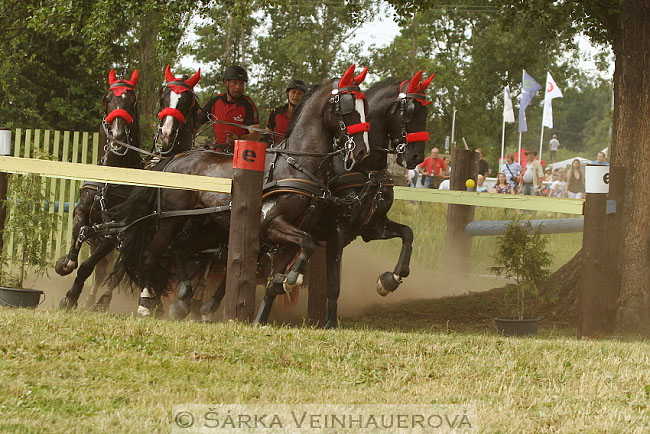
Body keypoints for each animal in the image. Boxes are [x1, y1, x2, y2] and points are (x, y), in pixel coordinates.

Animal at [111, 65, 370, 322]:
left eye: (364, 106)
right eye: (347, 106)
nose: (362, 150)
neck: (296, 164)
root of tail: (174, 159)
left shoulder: (293, 234)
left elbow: (290, 264)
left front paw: (264, 313)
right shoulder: (270, 224)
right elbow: (306, 245)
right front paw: (291, 280)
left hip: (209, 228)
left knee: (178, 250)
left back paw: (183, 299)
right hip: (171, 221)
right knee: (152, 255)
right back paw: (147, 303)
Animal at [316, 72, 432, 328]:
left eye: (426, 112)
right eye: (410, 111)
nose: (416, 157)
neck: (365, 169)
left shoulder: (373, 227)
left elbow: (408, 234)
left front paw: (391, 279)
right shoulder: (337, 231)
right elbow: (333, 281)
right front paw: (330, 322)